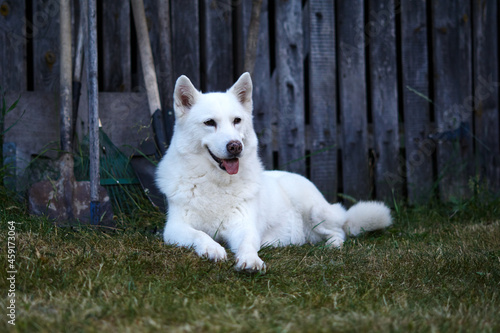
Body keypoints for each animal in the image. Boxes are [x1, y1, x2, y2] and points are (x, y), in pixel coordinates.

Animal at [155, 71, 390, 272]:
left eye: (237, 121)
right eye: (209, 122)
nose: (235, 146)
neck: (216, 183)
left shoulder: (245, 227)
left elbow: (248, 244)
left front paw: (250, 260)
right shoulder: (174, 228)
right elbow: (200, 235)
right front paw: (212, 248)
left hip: (314, 211)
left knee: (339, 231)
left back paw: (332, 245)